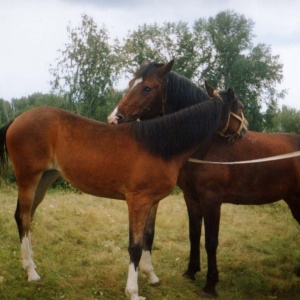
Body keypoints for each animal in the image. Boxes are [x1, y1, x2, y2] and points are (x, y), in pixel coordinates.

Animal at [0, 94, 234, 300]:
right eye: (237, 109)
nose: (241, 133)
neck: (159, 146)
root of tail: (17, 120)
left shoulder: (153, 202)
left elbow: (149, 237)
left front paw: (151, 276)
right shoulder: (138, 202)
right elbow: (135, 246)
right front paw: (133, 292)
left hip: (45, 178)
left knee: (27, 218)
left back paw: (31, 265)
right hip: (29, 179)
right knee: (23, 218)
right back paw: (31, 272)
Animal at [108, 59, 300, 296]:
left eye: (147, 88)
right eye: (130, 83)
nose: (114, 118)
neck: (206, 145)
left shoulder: (212, 200)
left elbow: (211, 241)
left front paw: (210, 284)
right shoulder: (191, 198)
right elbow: (194, 234)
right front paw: (191, 272)